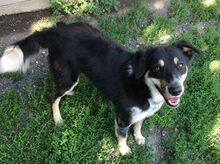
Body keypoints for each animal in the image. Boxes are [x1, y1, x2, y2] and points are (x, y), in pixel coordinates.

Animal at [0, 21, 202, 155]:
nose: (176, 90)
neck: (143, 87)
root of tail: (57, 29)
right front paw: (124, 150)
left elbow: (138, 125)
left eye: (181, 65)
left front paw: (139, 138)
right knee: (54, 97)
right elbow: (122, 136)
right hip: (68, 76)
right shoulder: (122, 119)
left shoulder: (141, 114)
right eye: (157, 68)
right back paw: (57, 118)